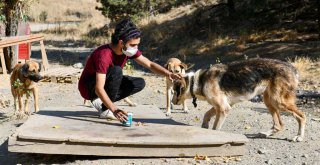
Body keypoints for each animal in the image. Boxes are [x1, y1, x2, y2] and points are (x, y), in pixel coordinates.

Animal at [171, 58, 306, 142]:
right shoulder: (222, 106)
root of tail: (293, 69)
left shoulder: (223, 108)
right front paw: (205, 127)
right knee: (279, 125)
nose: (172, 102)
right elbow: (206, 114)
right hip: (269, 101)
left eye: (174, 91)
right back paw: (266, 134)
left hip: (278, 101)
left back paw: (299, 137)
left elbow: (216, 127)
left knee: (302, 116)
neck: (197, 81)